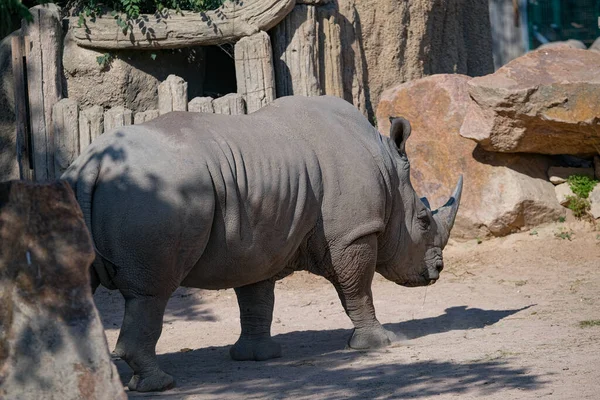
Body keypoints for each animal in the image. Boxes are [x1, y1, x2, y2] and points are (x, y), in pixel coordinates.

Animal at [61, 95, 462, 392]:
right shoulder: (353, 234)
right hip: (152, 194)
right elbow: (358, 290)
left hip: (88, 191)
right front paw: (380, 343)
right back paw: (161, 384)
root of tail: (91, 164)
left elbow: (256, 298)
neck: (387, 169)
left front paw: (258, 356)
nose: (438, 270)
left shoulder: (259, 240)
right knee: (150, 294)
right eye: (423, 221)